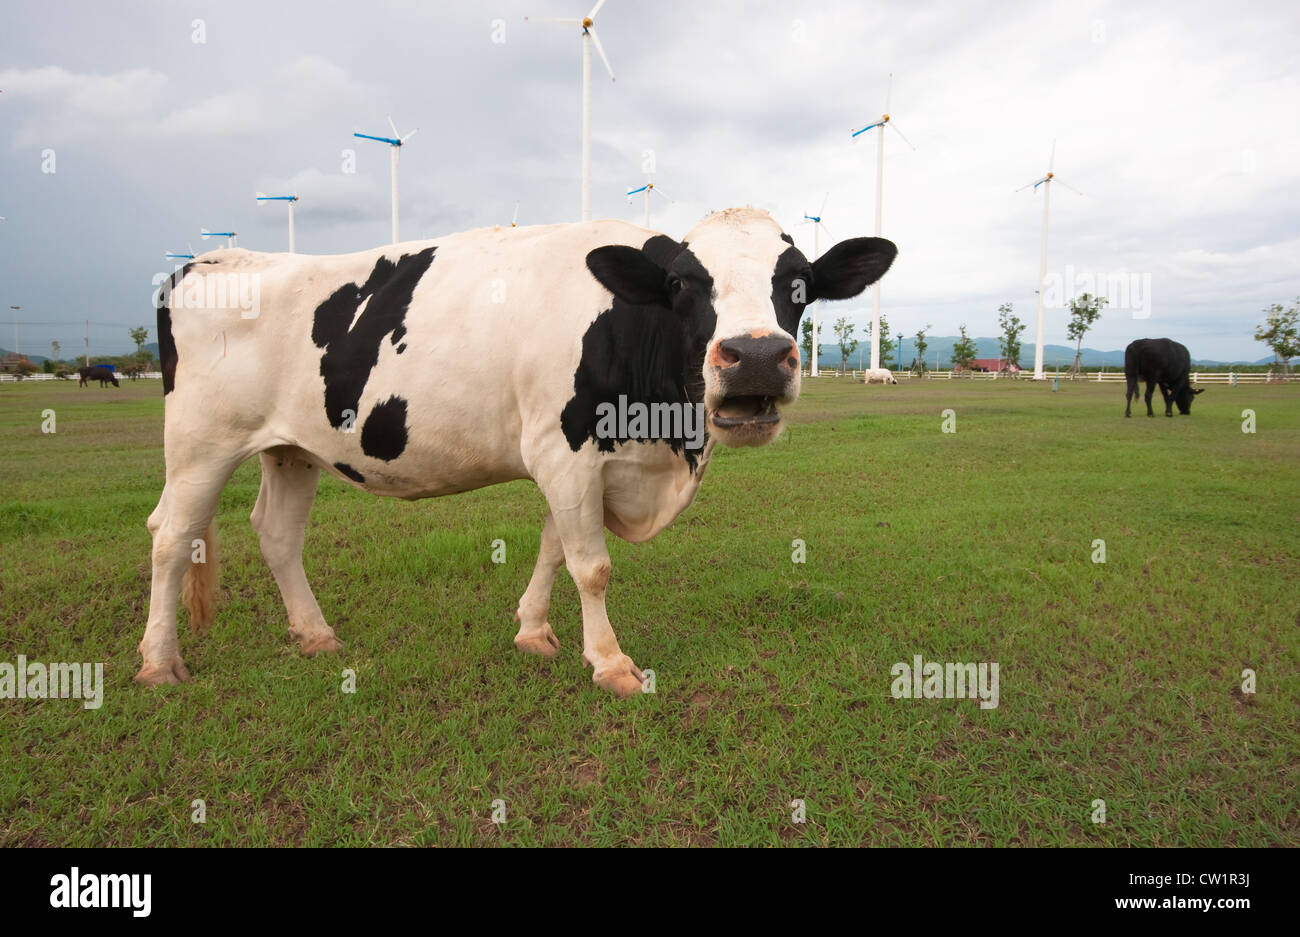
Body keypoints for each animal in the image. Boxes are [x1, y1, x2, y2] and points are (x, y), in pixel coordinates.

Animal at [136, 209, 897, 696]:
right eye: (684, 283)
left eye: (800, 283)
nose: (757, 357)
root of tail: (211, 261)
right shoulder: (564, 450)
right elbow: (591, 564)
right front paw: (610, 663)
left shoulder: (579, 461)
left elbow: (554, 546)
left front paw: (533, 632)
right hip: (200, 443)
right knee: (170, 535)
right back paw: (159, 662)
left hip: (290, 447)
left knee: (277, 533)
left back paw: (315, 634)